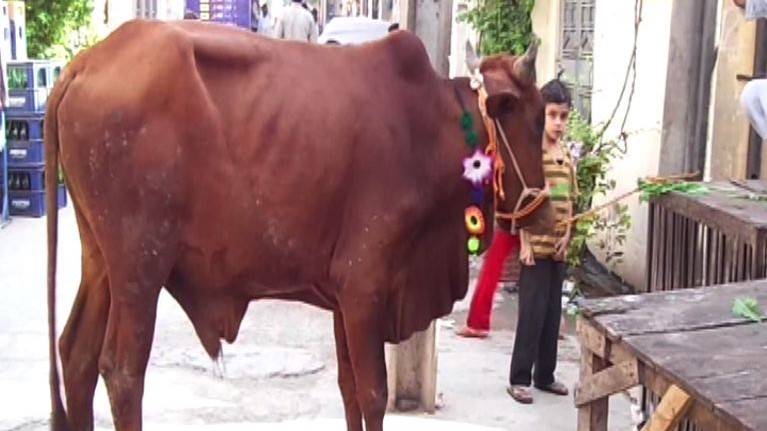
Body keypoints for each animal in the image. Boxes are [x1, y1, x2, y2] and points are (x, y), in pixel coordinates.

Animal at [46, 20, 544, 431]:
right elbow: (373, 393)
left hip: (101, 261)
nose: (542, 211)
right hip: (140, 267)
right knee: (122, 370)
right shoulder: (365, 287)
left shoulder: (346, 298)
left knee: (76, 356)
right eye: (536, 121)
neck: (431, 127)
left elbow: (349, 390)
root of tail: (84, 63)